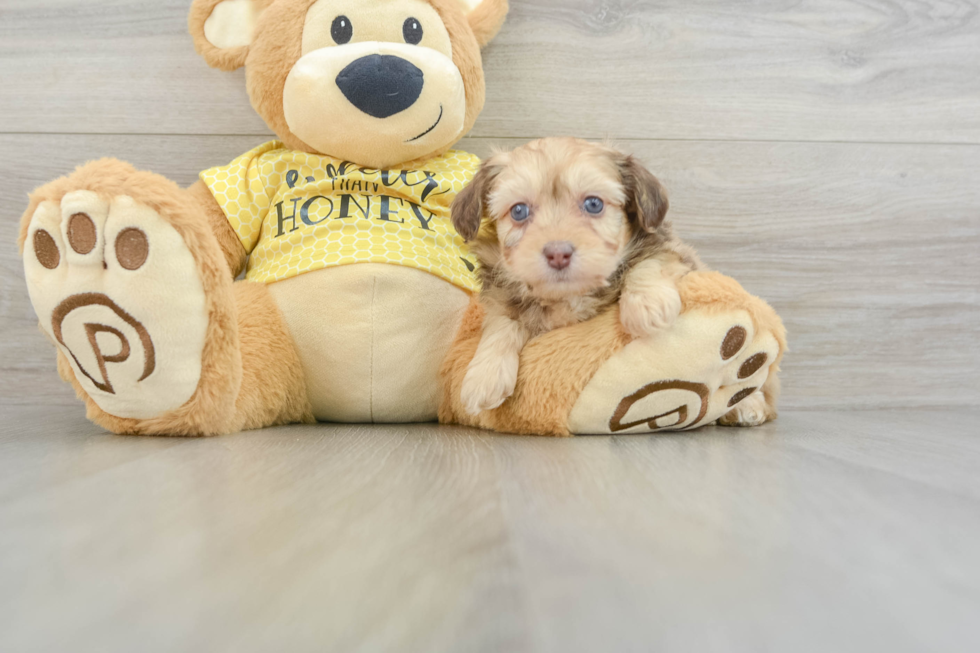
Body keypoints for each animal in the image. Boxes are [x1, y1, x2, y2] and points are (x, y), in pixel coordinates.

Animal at [452, 138, 704, 416]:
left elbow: (650, 261)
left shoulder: (675, 251)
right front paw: (484, 376)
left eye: (593, 204)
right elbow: (502, 321)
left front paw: (647, 305)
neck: (568, 295)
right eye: (518, 211)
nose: (558, 254)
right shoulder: (502, 295)